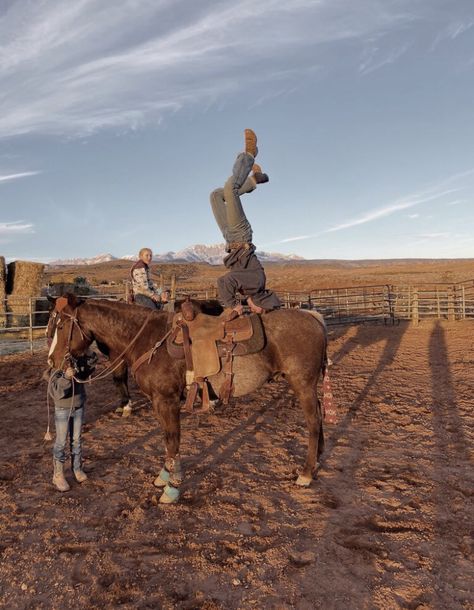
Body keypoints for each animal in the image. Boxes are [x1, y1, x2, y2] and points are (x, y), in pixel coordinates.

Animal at [48, 296, 330, 504]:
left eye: (61, 327)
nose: (52, 361)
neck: (148, 340)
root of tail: (314, 318)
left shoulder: (168, 400)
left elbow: (173, 439)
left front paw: (172, 489)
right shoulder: (157, 401)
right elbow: (166, 439)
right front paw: (165, 476)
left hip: (303, 384)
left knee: (314, 422)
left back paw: (305, 473)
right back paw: (317, 461)